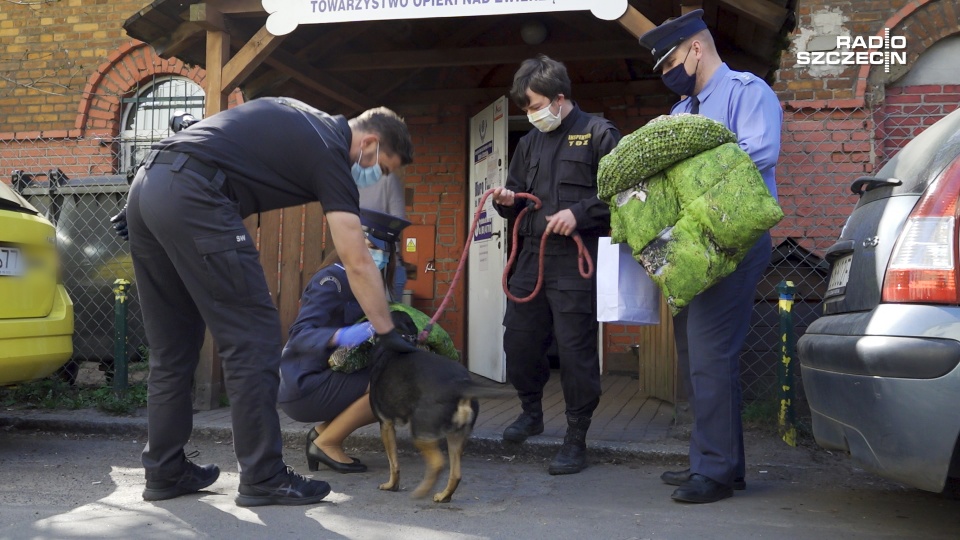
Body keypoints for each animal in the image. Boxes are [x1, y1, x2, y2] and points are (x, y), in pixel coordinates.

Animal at [372, 310, 484, 504]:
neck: (401, 334)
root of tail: (460, 385)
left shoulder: (385, 424)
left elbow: (393, 462)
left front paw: (391, 485)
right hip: (456, 436)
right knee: (456, 474)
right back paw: (443, 495)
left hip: (421, 432)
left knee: (438, 464)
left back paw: (421, 491)